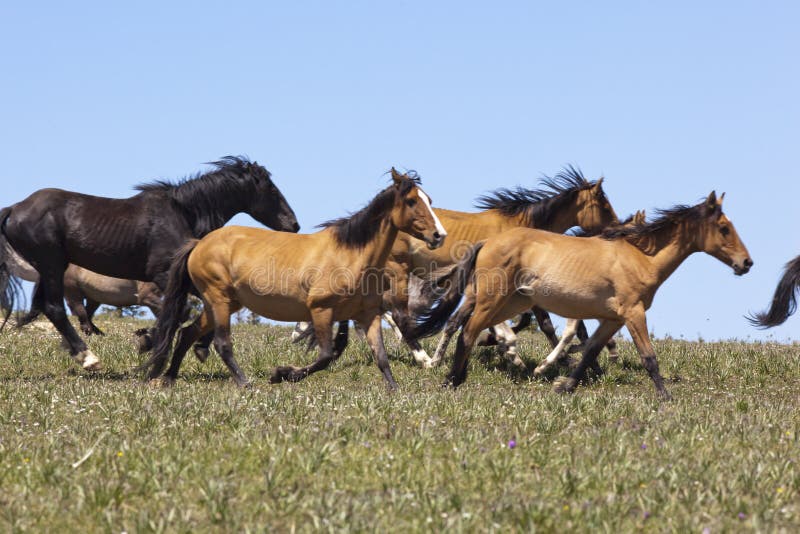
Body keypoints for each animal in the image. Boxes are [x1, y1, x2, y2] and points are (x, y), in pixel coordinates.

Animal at [0, 157, 298, 370]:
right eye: (271, 189)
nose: (293, 224)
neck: (183, 213)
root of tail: (15, 208)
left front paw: (193, 345)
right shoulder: (164, 275)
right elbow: (182, 311)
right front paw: (149, 341)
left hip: (49, 268)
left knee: (46, 309)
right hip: (52, 266)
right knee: (55, 309)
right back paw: (88, 358)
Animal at [141, 169, 446, 390]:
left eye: (430, 200)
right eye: (411, 201)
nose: (439, 235)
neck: (352, 254)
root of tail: (199, 244)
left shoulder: (367, 314)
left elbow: (380, 357)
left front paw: (395, 389)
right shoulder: (321, 310)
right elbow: (325, 356)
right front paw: (282, 374)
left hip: (221, 303)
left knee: (186, 333)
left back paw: (168, 379)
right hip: (218, 300)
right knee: (221, 343)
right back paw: (244, 383)